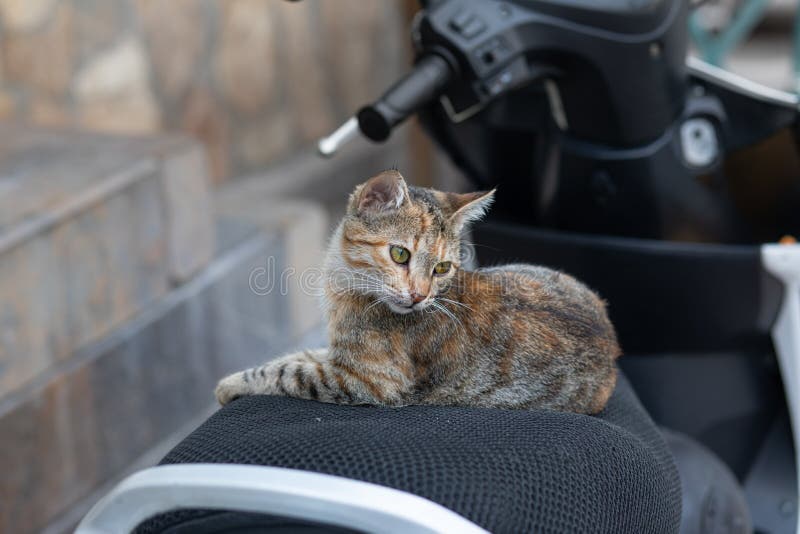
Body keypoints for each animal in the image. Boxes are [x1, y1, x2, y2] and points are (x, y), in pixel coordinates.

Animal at [216, 171, 620, 414]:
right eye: (400, 254)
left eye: (442, 268)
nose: (420, 296)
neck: (345, 286)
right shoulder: (337, 355)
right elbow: (298, 354)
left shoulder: (367, 381)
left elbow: (287, 370)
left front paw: (230, 384)